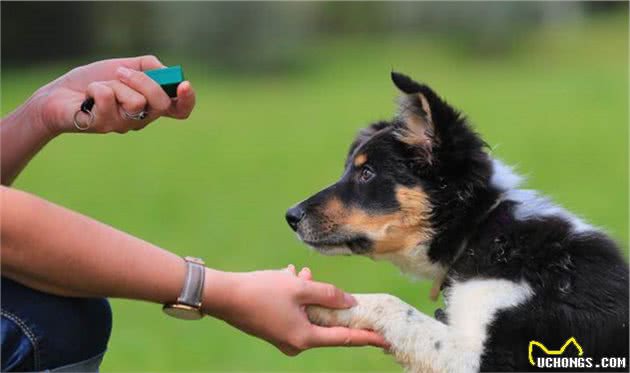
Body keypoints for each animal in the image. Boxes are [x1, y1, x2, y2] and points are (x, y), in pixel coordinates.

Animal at [288, 72, 630, 370]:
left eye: (367, 173)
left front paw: (322, 303)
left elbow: (393, 305)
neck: (482, 231)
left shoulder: (496, 357)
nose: (291, 216)